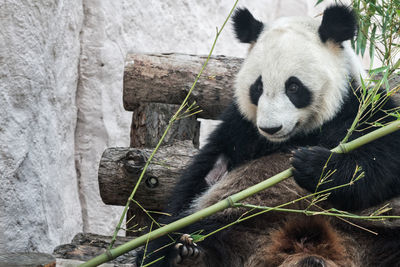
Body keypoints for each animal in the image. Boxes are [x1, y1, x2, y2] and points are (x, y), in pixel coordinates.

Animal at [139, 4, 400, 267]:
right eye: (258, 87)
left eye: (293, 87)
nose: (270, 128)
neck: (298, 135)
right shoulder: (238, 129)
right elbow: (198, 181)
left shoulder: (365, 109)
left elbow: (382, 164)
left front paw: (312, 163)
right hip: (231, 221)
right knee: (198, 235)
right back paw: (189, 257)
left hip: (370, 231)